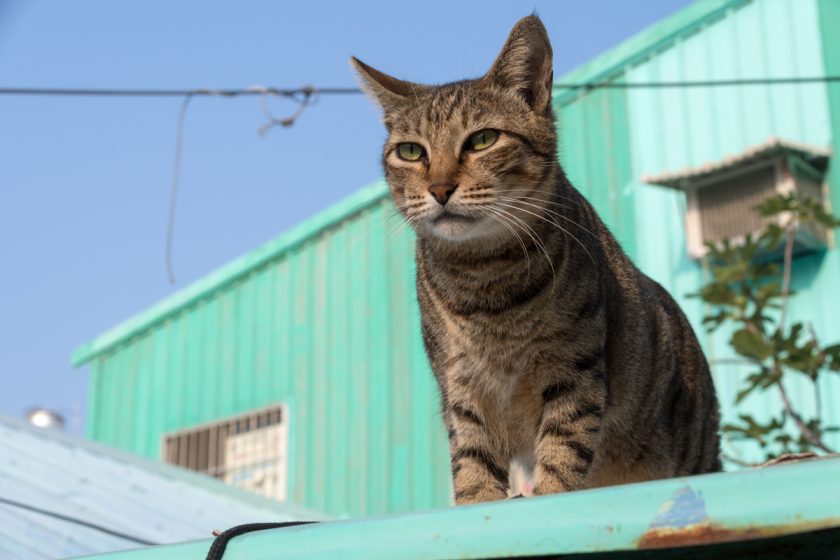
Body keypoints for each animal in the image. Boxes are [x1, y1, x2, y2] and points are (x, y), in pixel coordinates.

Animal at [352, 15, 720, 506]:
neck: (484, 278)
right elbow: (470, 454)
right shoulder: (460, 381)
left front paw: (550, 493)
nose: (439, 188)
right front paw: (478, 501)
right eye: (411, 151)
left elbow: (564, 445)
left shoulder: (574, 367)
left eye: (483, 139)